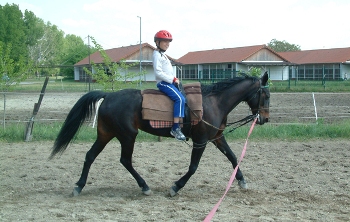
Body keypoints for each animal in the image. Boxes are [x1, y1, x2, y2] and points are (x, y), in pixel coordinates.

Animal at [49, 71, 270, 196]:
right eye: (266, 95)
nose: (265, 119)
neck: (213, 102)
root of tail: (109, 95)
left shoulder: (217, 137)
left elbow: (233, 157)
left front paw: (241, 181)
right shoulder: (200, 141)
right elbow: (193, 167)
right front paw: (176, 187)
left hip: (106, 134)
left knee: (90, 156)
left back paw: (79, 186)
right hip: (128, 136)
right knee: (125, 160)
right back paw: (144, 186)